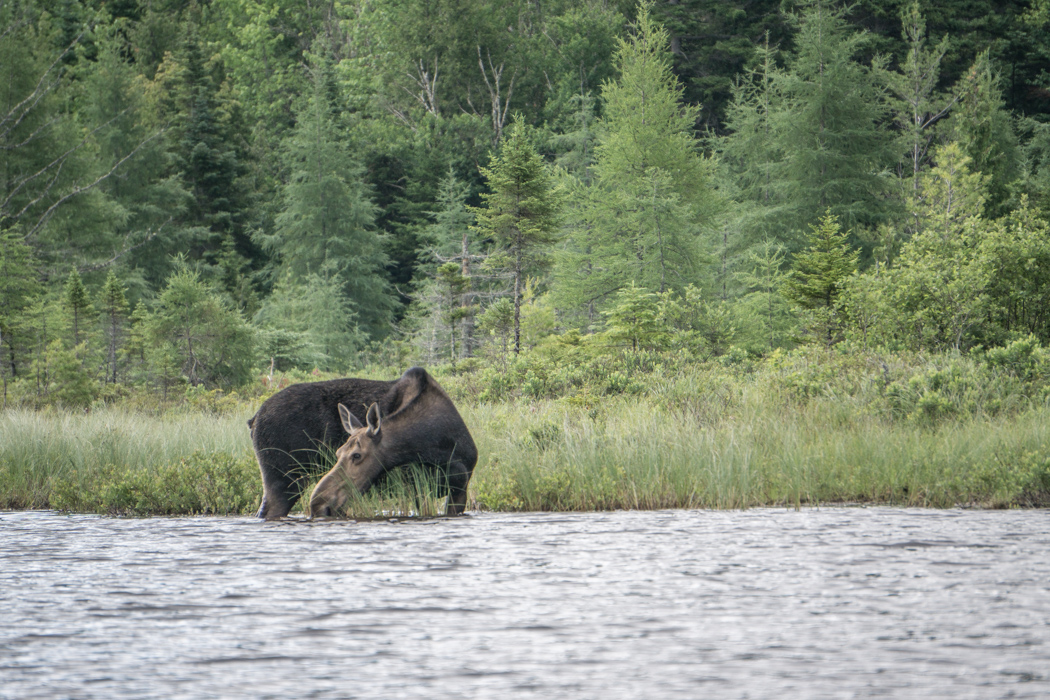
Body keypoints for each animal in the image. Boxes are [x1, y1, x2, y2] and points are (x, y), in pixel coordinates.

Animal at [247, 367, 478, 520]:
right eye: (337, 453)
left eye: (356, 455)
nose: (318, 503)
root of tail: (254, 419)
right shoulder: (416, 487)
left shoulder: (459, 490)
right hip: (284, 481)